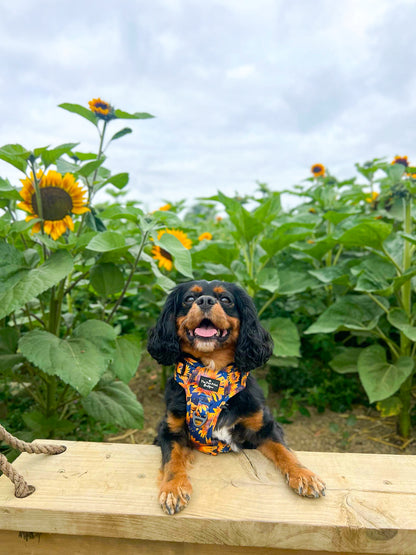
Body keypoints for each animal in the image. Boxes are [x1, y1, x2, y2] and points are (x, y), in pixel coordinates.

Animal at [146, 280, 324, 516]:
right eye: (189, 299)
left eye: (225, 300)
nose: (205, 301)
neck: (212, 375)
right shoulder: (170, 429)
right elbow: (172, 460)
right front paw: (173, 488)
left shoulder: (264, 427)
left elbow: (285, 451)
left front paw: (305, 476)